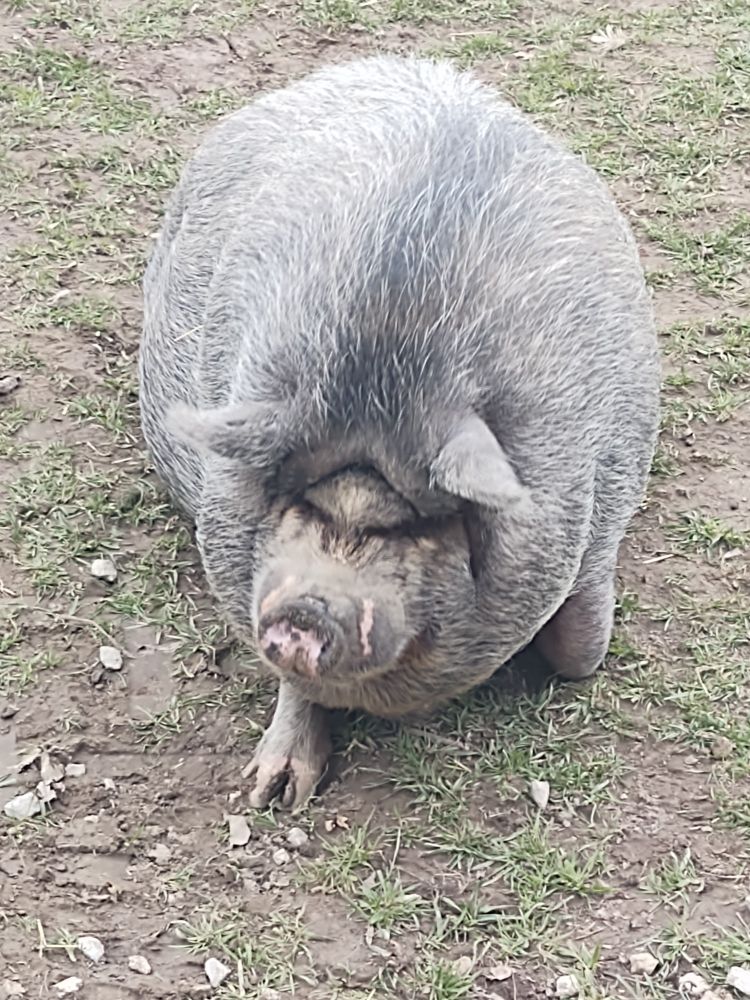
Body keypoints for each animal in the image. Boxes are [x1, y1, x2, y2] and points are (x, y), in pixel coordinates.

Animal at [139, 55, 660, 810]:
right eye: (298, 504)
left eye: (414, 528)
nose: (306, 610)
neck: (386, 362)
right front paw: (272, 794)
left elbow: (581, 654)